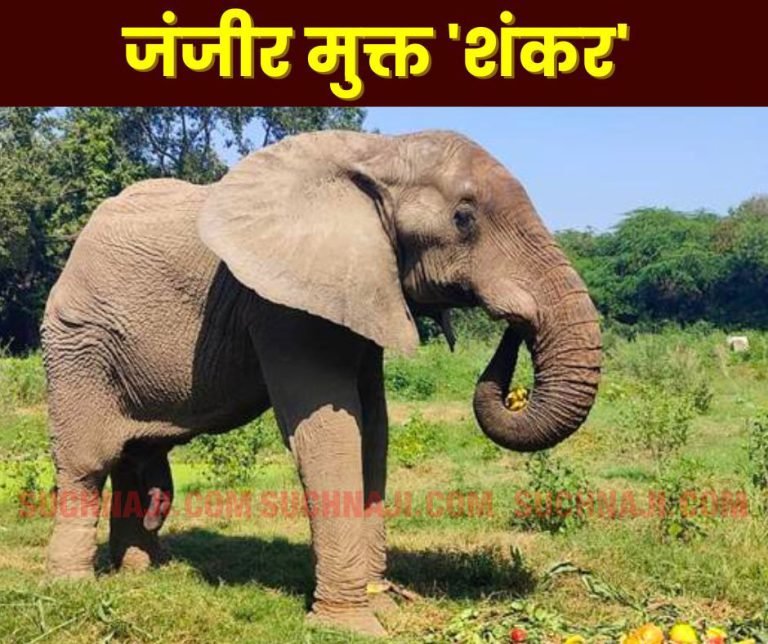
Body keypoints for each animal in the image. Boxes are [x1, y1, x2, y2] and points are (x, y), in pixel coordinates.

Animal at [41, 130, 601, 637]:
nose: (516, 322)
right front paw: (353, 627)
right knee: (87, 463)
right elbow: (331, 431)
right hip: (76, 346)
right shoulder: (283, 307)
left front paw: (384, 606)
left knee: (132, 457)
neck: (378, 152)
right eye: (463, 218)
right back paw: (72, 587)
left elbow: (374, 430)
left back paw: (143, 572)